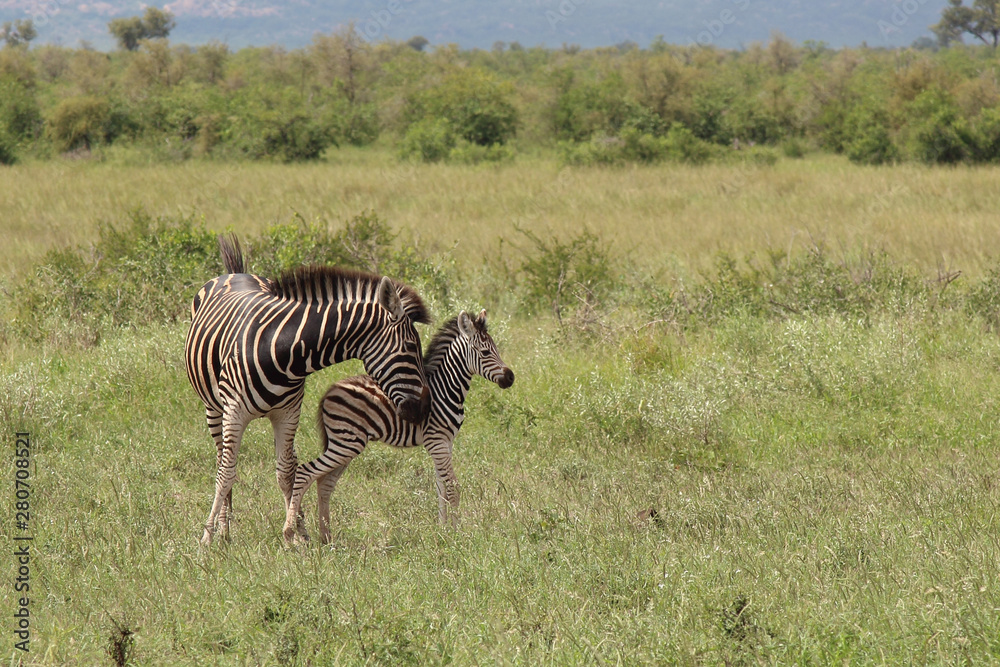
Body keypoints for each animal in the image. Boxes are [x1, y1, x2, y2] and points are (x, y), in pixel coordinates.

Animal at [185, 235, 431, 545]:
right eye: (411, 347)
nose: (423, 409)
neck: (282, 350)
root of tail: (235, 272)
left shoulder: (288, 413)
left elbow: (286, 473)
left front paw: (298, 532)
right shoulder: (234, 413)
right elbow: (226, 473)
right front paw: (207, 538)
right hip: (213, 408)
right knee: (222, 460)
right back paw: (223, 527)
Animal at [282, 309, 514, 545]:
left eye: (496, 349)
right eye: (485, 352)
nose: (510, 377)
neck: (446, 389)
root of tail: (328, 392)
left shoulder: (446, 442)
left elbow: (440, 487)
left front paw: (443, 530)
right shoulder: (437, 440)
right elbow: (451, 487)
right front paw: (457, 534)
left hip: (344, 444)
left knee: (324, 482)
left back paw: (326, 537)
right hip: (346, 442)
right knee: (306, 472)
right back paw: (292, 532)